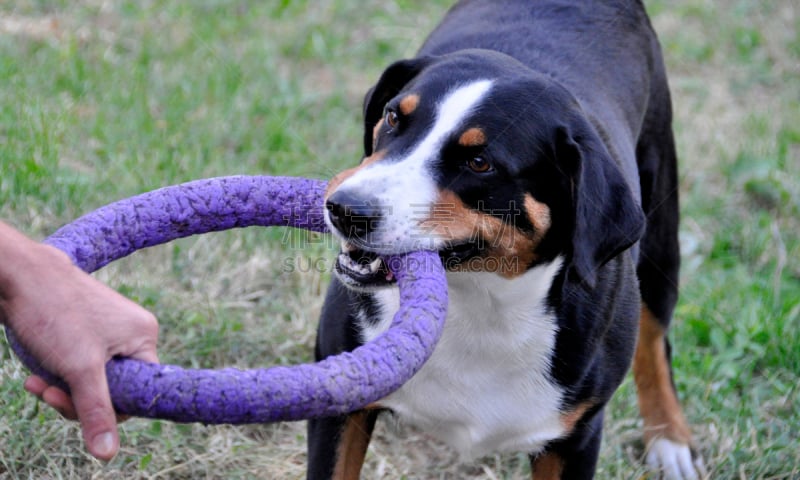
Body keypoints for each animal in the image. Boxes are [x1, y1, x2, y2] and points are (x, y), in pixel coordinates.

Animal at [310, 1, 704, 478]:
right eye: (392, 118)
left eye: (480, 162)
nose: (345, 209)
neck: (480, 306)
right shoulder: (340, 395)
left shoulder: (575, 439)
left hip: (661, 227)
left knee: (654, 336)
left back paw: (670, 438)